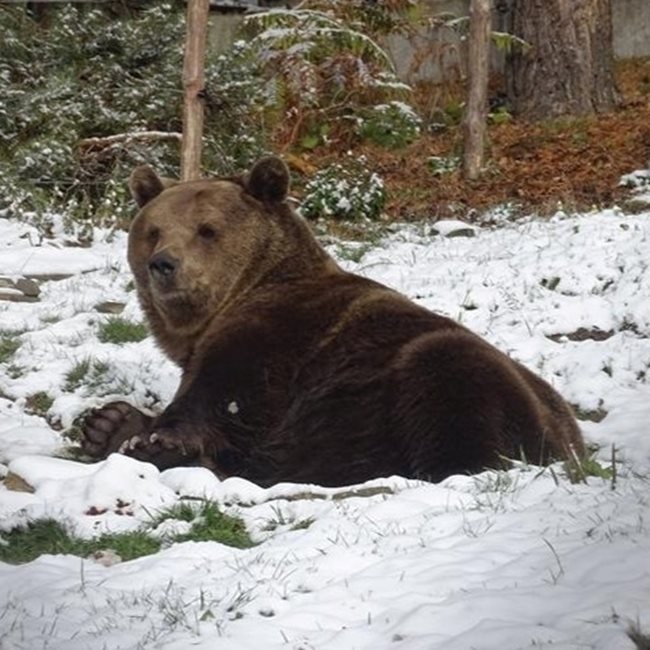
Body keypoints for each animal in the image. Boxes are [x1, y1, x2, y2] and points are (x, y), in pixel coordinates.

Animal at [81, 154, 584, 484]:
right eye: (153, 230)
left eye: (207, 230)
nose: (164, 264)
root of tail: (574, 443)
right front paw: (110, 423)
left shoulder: (276, 336)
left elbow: (222, 399)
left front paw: (157, 442)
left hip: (449, 385)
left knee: (450, 383)